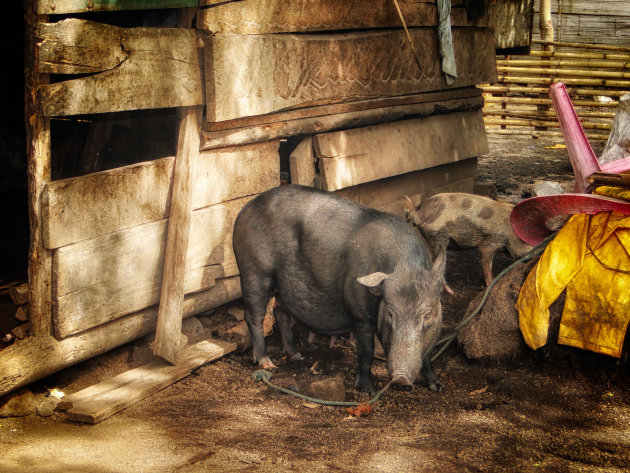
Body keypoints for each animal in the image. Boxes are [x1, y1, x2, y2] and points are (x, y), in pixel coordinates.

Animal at [235, 184, 446, 390]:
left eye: (427, 315)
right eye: (390, 313)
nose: (401, 380)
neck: (406, 265)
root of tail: (245, 209)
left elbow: (426, 355)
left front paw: (437, 386)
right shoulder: (361, 313)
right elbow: (367, 350)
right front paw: (366, 391)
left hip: (281, 287)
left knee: (280, 313)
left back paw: (297, 356)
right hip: (254, 272)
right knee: (254, 316)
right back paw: (267, 363)